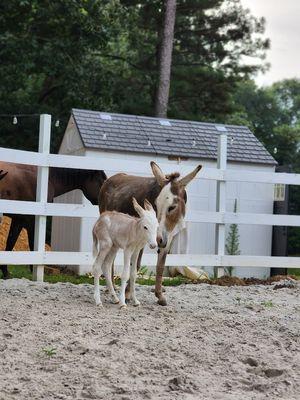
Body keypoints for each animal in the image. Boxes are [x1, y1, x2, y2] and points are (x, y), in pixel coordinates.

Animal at [99, 161, 202, 304]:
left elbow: (161, 265)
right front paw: (128, 294)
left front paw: (159, 295)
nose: (158, 239)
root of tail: (113, 177)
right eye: (156, 205)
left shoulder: (169, 237)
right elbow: (136, 265)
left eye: (172, 207)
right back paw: (112, 288)